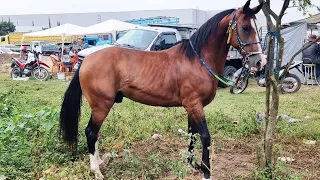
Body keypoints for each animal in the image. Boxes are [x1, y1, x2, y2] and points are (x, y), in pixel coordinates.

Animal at [59, 1, 264, 179]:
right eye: (246, 27)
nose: (259, 62)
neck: (196, 61)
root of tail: (86, 60)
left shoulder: (191, 107)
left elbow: (192, 135)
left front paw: (192, 164)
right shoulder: (194, 105)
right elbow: (205, 137)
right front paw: (206, 171)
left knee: (94, 134)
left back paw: (100, 162)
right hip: (101, 106)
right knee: (90, 132)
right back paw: (97, 171)